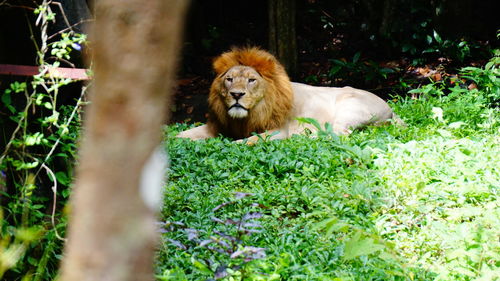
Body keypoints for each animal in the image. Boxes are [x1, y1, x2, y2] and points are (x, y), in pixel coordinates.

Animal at [176, 46, 402, 141]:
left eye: (251, 80)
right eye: (229, 79)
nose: (236, 95)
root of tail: (391, 108)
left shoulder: (279, 130)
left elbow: (247, 141)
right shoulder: (216, 126)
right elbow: (181, 135)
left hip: (350, 105)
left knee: (338, 133)